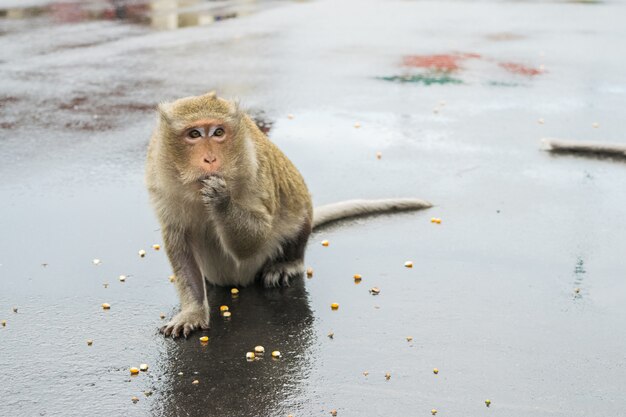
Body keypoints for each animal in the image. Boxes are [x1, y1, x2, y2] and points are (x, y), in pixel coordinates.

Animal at [146, 89, 428, 336]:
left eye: (218, 132)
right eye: (194, 134)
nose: (210, 160)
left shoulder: (253, 168)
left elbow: (255, 238)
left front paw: (221, 200)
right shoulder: (160, 180)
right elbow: (179, 241)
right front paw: (192, 313)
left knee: (296, 215)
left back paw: (287, 263)